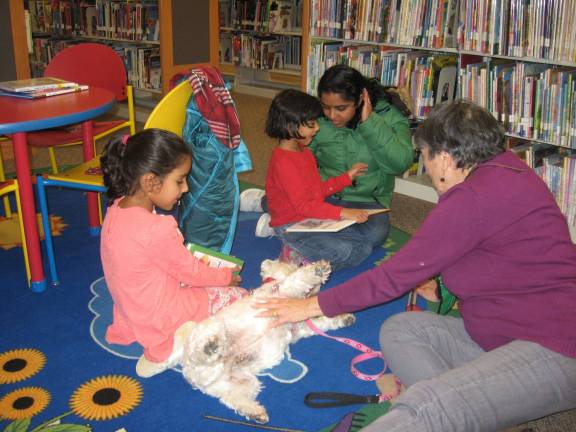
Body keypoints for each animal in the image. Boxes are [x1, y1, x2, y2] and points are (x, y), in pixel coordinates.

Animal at [181, 258, 356, 424]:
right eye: (296, 264)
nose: (317, 291)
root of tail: (194, 377)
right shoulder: (285, 291)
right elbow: (299, 279)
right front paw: (318, 270)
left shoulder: (300, 328)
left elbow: (323, 322)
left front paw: (345, 318)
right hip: (209, 331)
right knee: (198, 351)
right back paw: (210, 348)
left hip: (242, 382)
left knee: (232, 398)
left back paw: (255, 412)